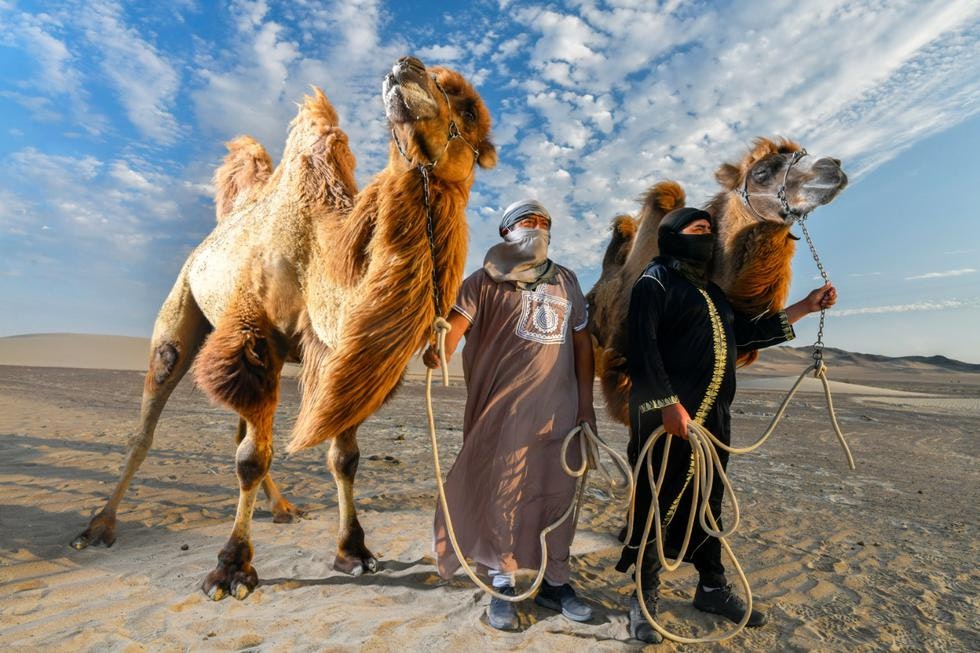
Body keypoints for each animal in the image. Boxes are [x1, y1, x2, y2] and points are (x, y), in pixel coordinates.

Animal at [71, 57, 497, 602]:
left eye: (469, 107)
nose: (406, 66)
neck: (321, 254)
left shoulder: (342, 357)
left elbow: (344, 456)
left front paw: (354, 552)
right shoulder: (256, 335)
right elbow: (252, 459)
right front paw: (231, 568)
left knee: (239, 428)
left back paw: (283, 509)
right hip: (183, 309)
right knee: (150, 420)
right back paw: (98, 526)